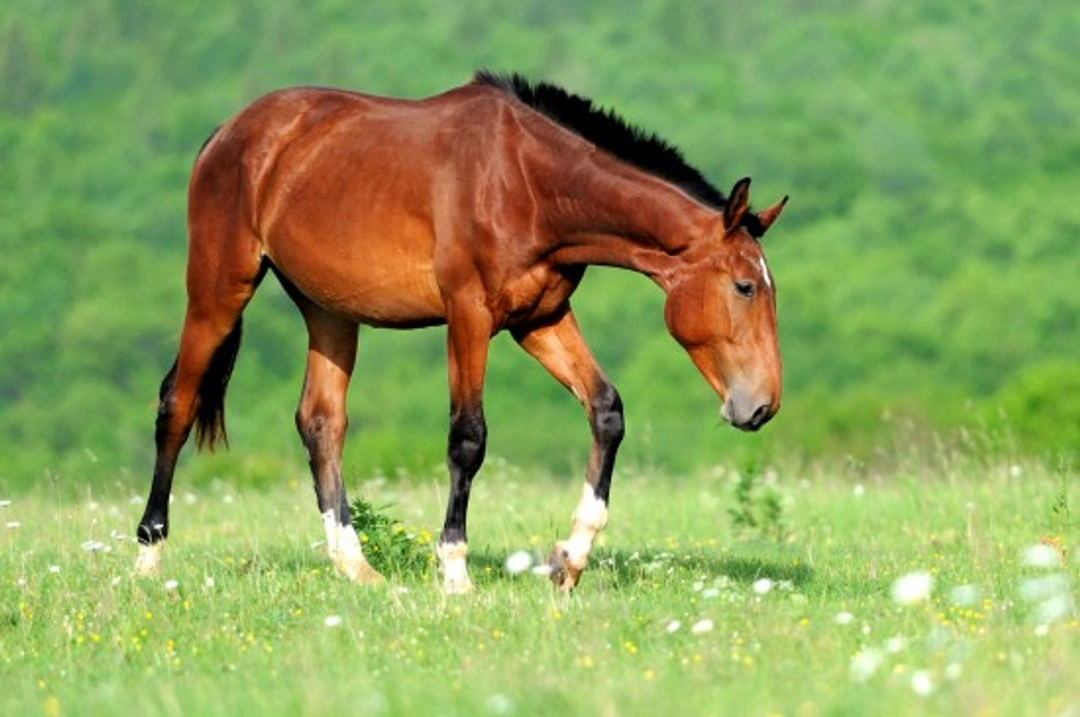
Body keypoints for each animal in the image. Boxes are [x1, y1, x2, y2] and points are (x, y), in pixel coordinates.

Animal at [134, 70, 787, 593]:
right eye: (744, 287)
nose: (761, 406)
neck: (526, 181)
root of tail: (228, 133)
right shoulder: (469, 315)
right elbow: (467, 439)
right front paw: (454, 572)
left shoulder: (539, 319)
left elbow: (606, 411)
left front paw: (569, 559)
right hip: (218, 290)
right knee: (177, 405)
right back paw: (147, 556)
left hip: (328, 310)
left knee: (321, 421)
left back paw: (357, 568)